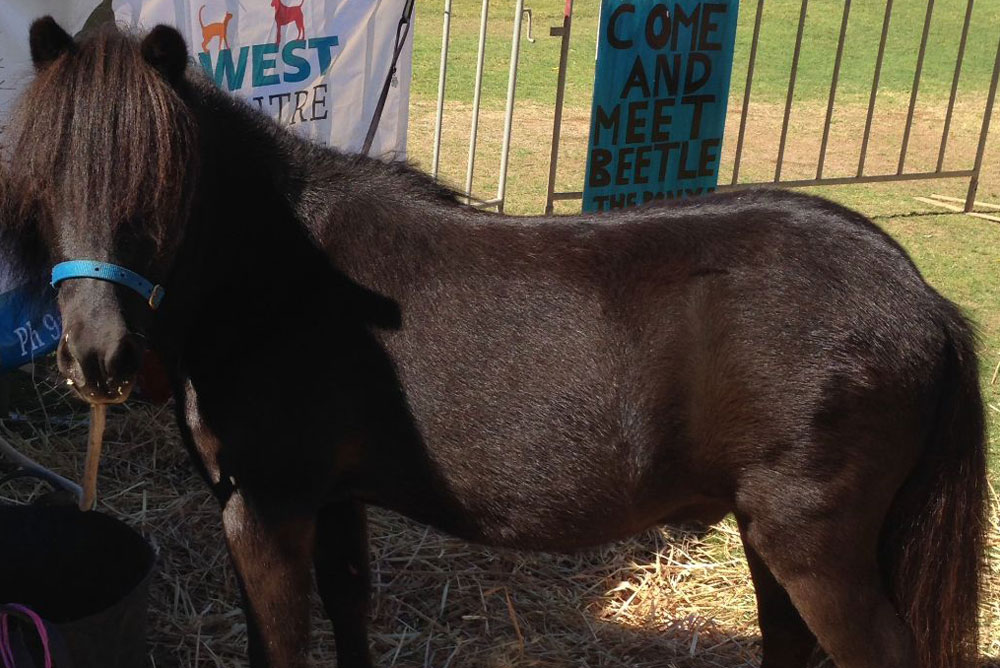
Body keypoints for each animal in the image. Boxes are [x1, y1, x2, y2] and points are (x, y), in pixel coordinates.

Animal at [1, 19, 987, 668]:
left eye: (160, 181)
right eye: (44, 176)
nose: (96, 355)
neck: (284, 279)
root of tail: (917, 293)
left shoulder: (265, 509)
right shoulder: (332, 499)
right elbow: (349, 608)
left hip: (814, 542)